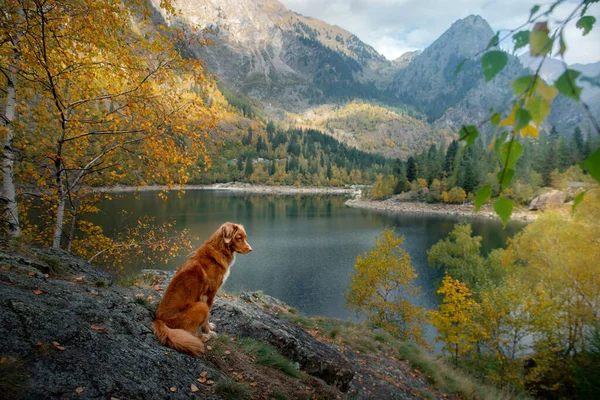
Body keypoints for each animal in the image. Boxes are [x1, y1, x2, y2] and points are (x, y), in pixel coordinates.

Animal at [154, 222, 252, 356]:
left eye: (244, 237)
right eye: (239, 237)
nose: (251, 249)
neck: (219, 250)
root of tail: (159, 320)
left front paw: (210, 327)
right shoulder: (210, 294)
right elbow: (208, 316)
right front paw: (208, 330)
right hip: (201, 306)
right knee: (189, 333)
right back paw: (204, 337)